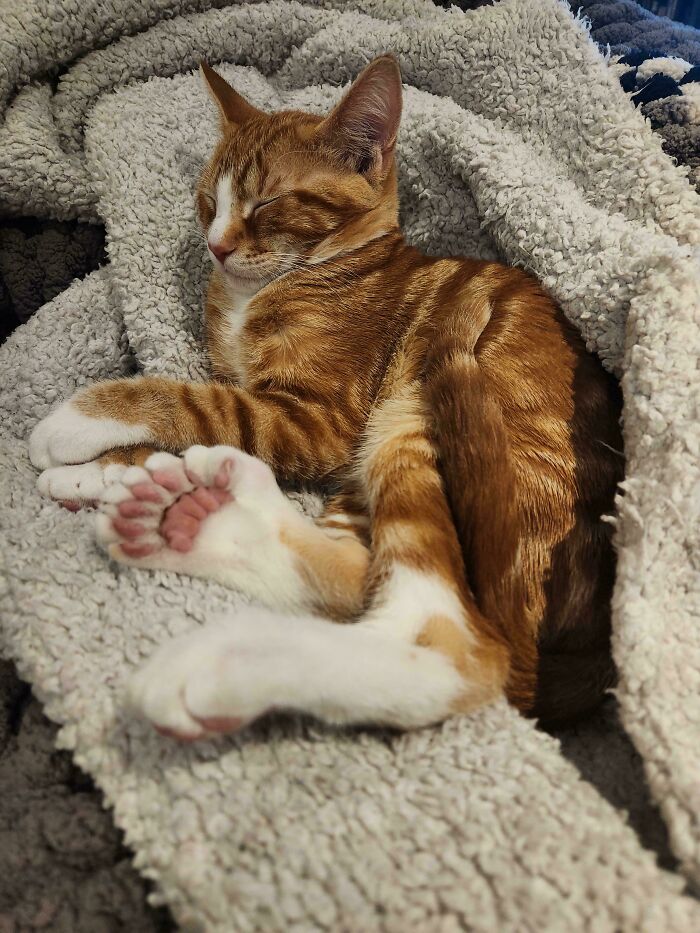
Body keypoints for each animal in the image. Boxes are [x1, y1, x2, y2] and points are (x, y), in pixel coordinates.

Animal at [28, 56, 624, 744]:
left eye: (268, 202)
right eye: (208, 199)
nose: (216, 246)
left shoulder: (318, 417)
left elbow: (199, 403)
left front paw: (76, 425)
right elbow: (207, 406)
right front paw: (101, 473)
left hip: (414, 415)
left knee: (451, 642)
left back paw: (222, 666)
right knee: (351, 572)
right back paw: (189, 519)